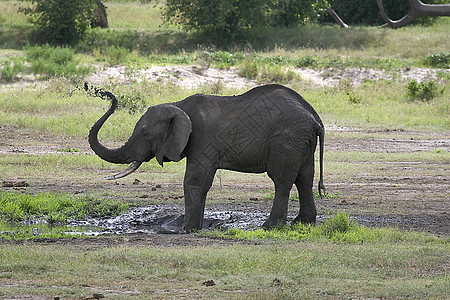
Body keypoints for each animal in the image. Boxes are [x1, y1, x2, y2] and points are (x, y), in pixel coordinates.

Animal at [89, 83, 326, 233]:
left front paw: (188, 229)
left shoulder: (202, 140)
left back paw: (269, 227)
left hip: (287, 140)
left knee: (282, 181)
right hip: (301, 142)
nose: (105, 94)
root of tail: (316, 120)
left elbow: (194, 181)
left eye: (145, 133)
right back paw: (302, 223)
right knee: (304, 179)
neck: (178, 105)